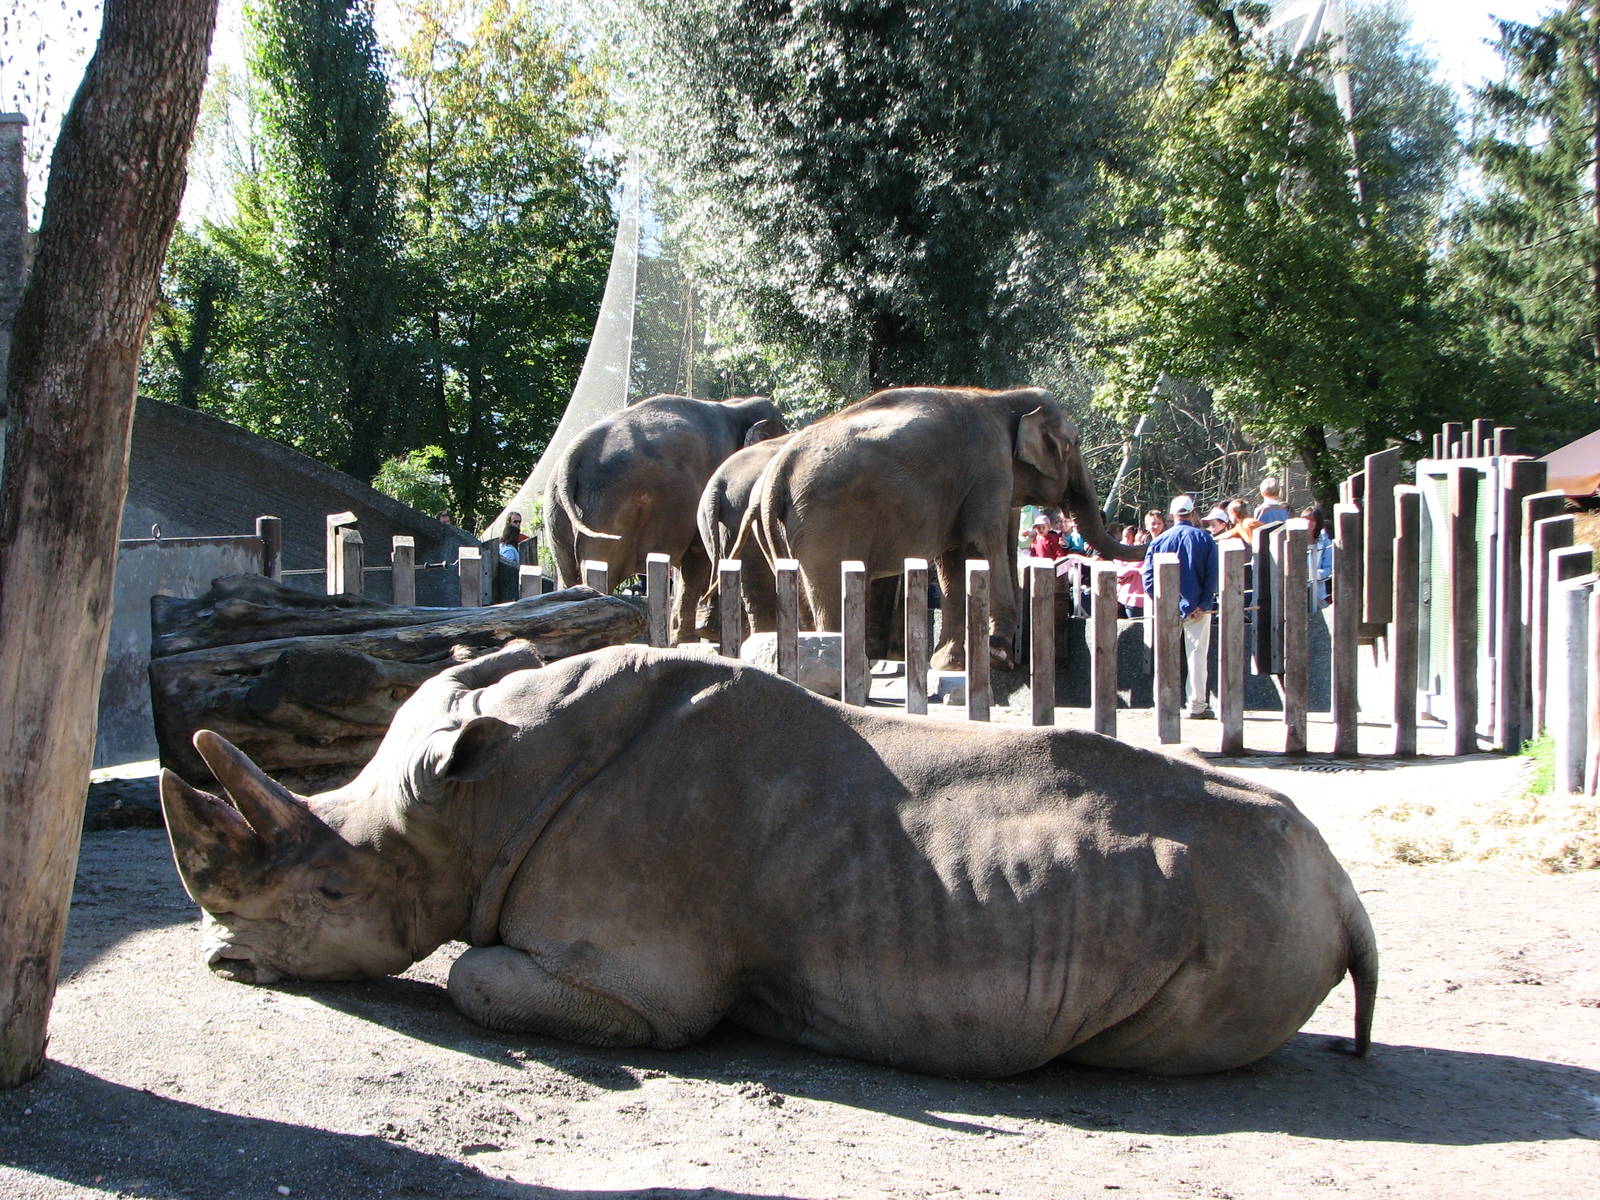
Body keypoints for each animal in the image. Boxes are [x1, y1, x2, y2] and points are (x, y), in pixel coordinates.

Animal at [160, 641, 1377, 1079]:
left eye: (331, 889)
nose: (221, 958)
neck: (474, 800)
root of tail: (1345, 891)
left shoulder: (641, 986)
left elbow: (472, 978)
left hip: (1249, 914)